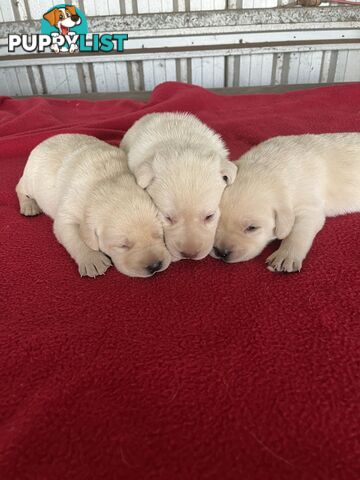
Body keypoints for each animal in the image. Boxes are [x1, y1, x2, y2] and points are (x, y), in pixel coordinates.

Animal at [17, 134, 172, 278]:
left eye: (159, 235)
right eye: (123, 246)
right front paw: (92, 260)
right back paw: (29, 205)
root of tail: (44, 141)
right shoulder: (67, 213)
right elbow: (73, 236)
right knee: (19, 187)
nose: (155, 266)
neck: (107, 180)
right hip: (31, 180)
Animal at [212, 133, 360, 272]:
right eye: (215, 220)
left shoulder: (308, 206)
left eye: (252, 228)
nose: (221, 252)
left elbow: (298, 231)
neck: (270, 168)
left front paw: (285, 256)